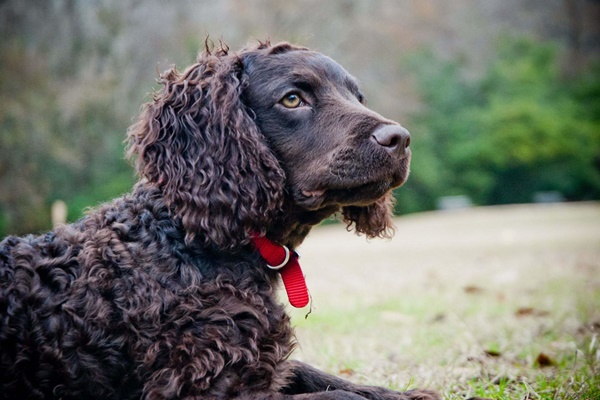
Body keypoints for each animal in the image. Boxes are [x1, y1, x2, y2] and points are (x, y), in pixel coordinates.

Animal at [1, 41, 440, 400]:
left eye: (357, 96)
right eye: (293, 99)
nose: (400, 138)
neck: (188, 240)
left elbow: (325, 377)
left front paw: (405, 393)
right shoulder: (206, 387)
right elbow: (338, 396)